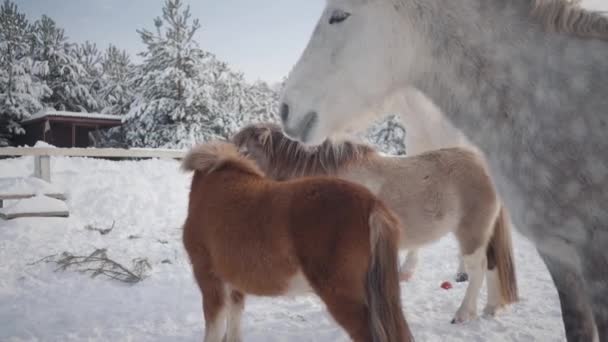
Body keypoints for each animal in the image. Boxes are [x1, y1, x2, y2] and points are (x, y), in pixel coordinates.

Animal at [233, 123, 516, 324]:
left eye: (244, 151)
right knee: (492, 265)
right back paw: (490, 309)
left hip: (471, 233)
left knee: (478, 268)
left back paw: (463, 314)